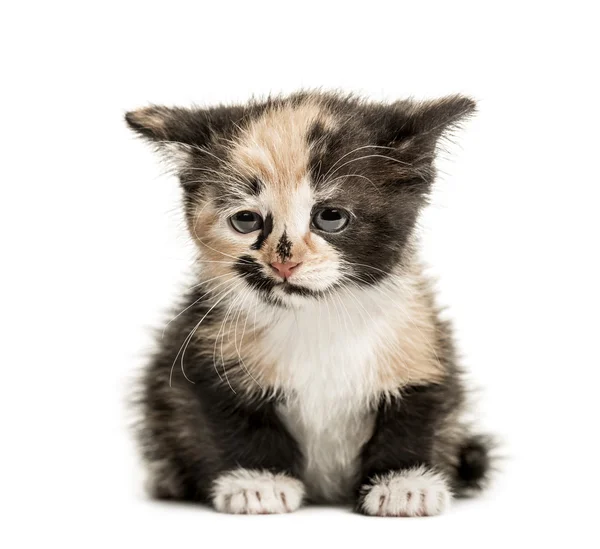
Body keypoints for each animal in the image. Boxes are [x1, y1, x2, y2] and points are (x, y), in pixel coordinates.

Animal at [125, 90, 492, 512]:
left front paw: (404, 484)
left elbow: (419, 412)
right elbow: (229, 417)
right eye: (245, 220)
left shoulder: (422, 341)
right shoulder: (202, 349)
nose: (284, 263)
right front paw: (257, 482)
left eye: (331, 216)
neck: (318, 316)